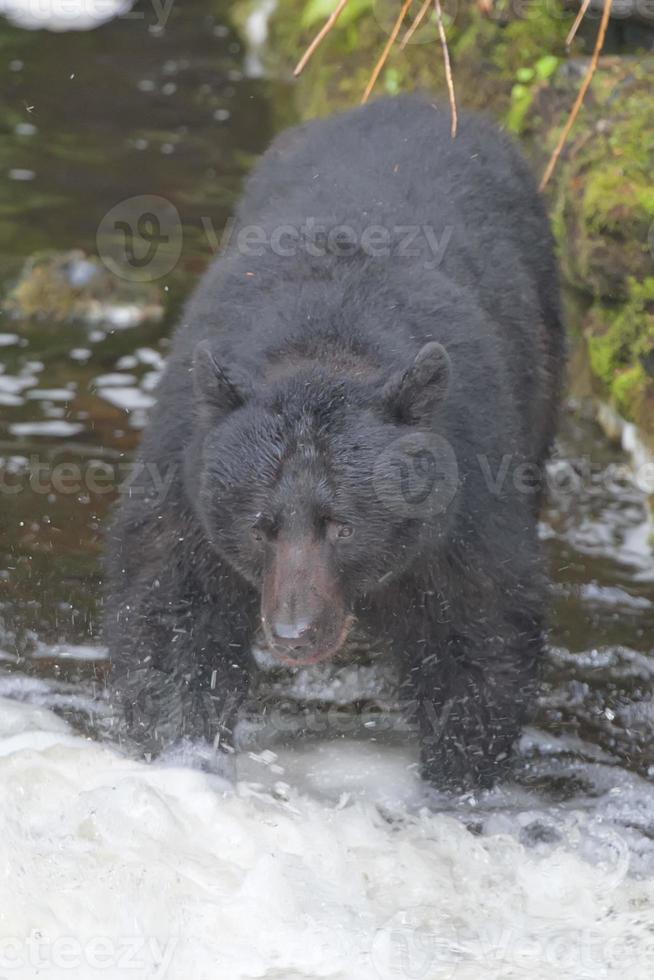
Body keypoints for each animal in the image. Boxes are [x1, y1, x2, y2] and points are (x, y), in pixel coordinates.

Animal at [105, 95, 568, 792]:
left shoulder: (468, 490)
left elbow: (481, 631)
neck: (327, 346)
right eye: (261, 526)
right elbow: (175, 614)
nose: (294, 632)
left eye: (344, 526)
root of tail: (417, 100)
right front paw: (181, 749)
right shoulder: (186, 470)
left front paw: (454, 780)